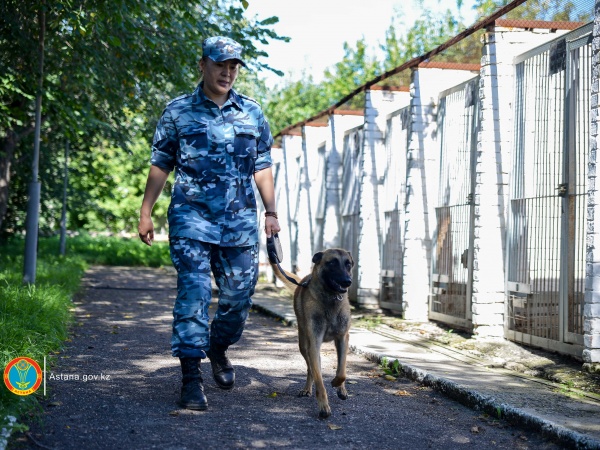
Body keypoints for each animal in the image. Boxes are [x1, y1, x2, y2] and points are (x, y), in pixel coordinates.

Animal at [270, 246, 354, 418]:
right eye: (332, 263)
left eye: (348, 264)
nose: (347, 281)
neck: (330, 298)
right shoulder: (314, 343)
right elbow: (319, 379)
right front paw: (323, 406)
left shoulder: (343, 338)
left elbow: (341, 371)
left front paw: (338, 385)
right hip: (304, 344)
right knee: (310, 368)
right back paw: (308, 388)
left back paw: (341, 389)